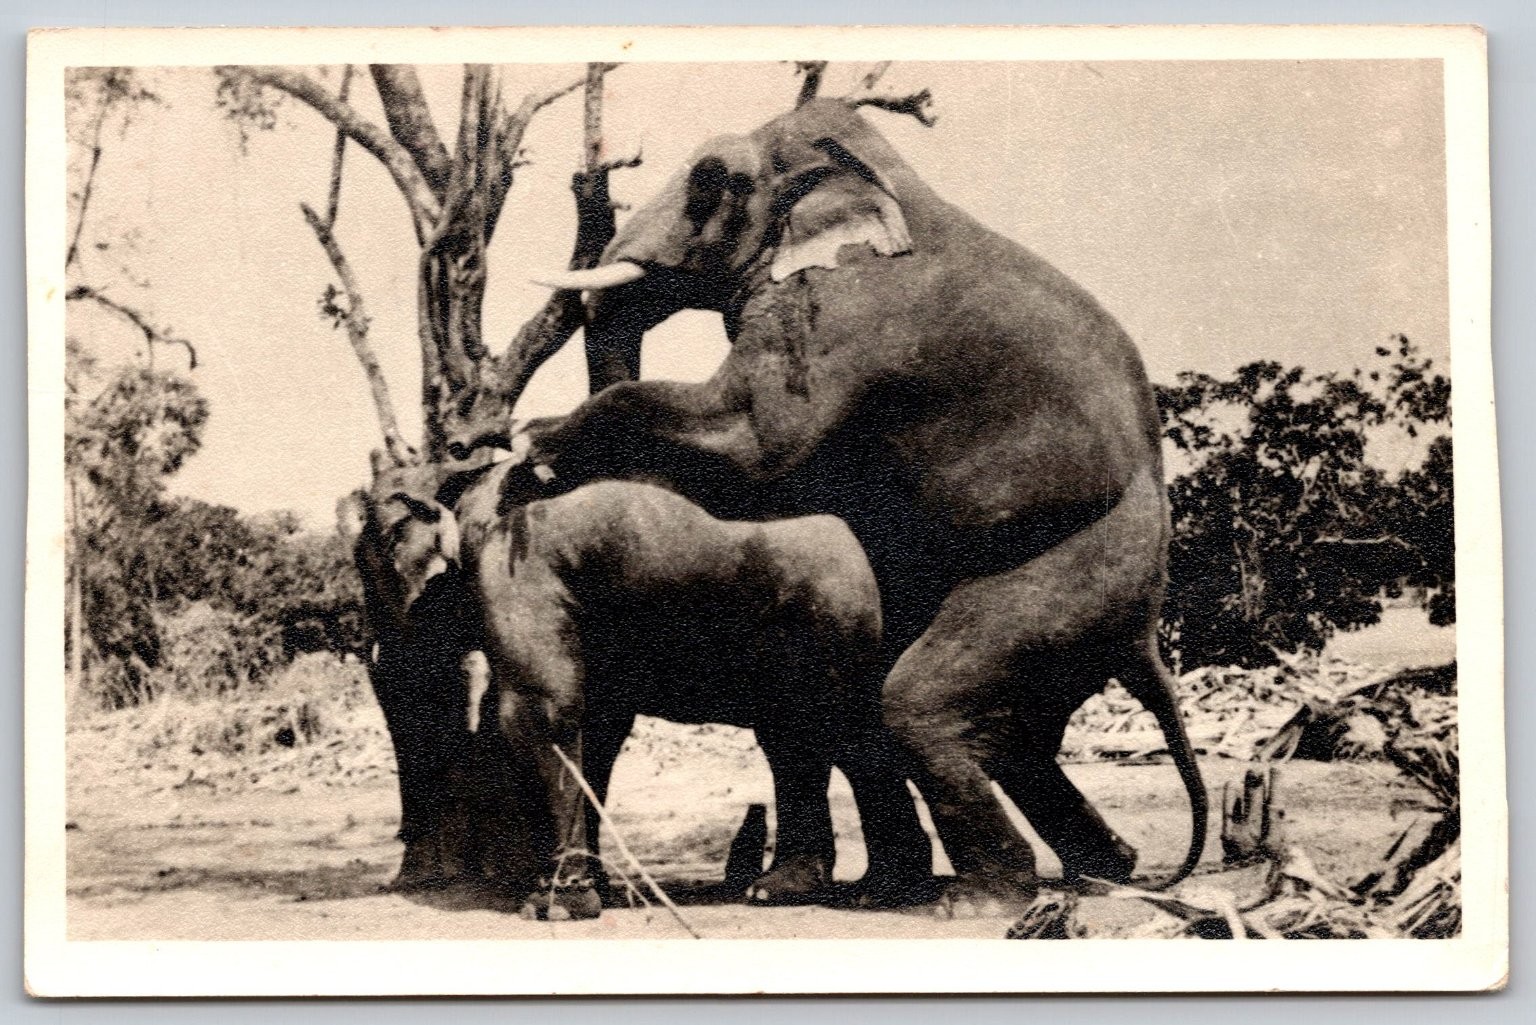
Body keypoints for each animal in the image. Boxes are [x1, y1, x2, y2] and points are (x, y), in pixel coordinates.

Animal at [344, 454, 933, 920]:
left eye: (368, 574)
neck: (467, 476)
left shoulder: (518, 574)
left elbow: (542, 713)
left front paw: (555, 906)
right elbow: (597, 728)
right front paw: (595, 891)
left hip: (834, 619)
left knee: (837, 730)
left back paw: (868, 892)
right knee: (806, 736)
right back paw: (812, 890)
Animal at [509, 98, 1208, 916]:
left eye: (711, 178)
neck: (868, 170)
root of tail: (1149, 633)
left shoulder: (843, 313)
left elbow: (755, 435)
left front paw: (534, 441)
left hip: (1072, 576)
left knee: (922, 705)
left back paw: (976, 902)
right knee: (998, 732)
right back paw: (1104, 871)